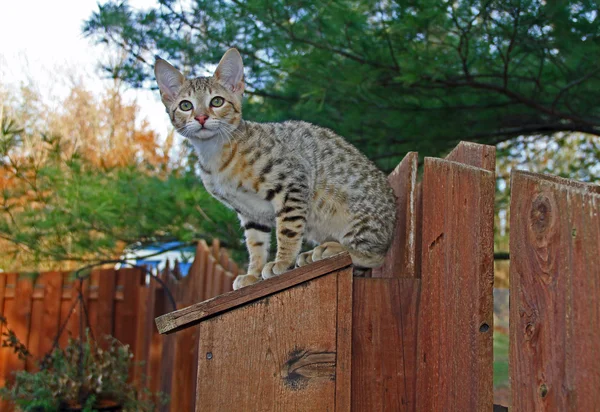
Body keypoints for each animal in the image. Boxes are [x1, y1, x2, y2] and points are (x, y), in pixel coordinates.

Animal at [156, 48, 398, 288]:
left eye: (216, 101)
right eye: (185, 105)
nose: (201, 117)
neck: (216, 154)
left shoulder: (292, 181)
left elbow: (288, 229)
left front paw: (282, 261)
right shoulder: (250, 213)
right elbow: (255, 244)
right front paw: (253, 274)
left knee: (376, 256)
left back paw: (331, 248)